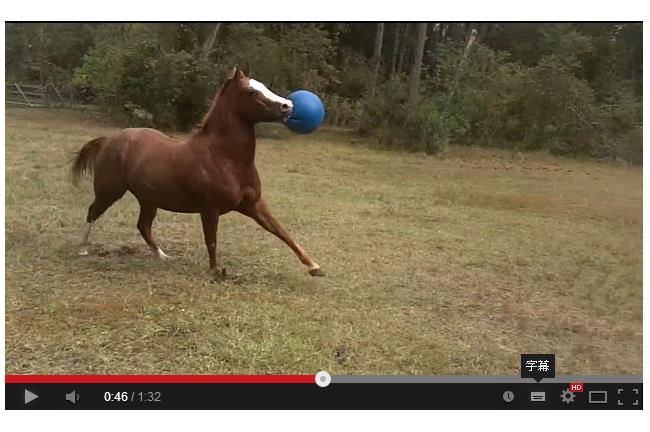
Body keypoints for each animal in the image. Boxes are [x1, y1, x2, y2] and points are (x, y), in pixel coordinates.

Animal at [70, 66, 324, 277]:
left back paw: (162, 256)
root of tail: (110, 139)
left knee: (143, 226)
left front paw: (315, 267)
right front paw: (216, 272)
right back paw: (81, 249)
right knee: (93, 212)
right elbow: (211, 240)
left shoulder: (253, 205)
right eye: (251, 91)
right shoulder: (210, 209)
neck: (225, 158)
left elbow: (281, 230)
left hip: (148, 199)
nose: (288, 106)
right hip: (110, 191)